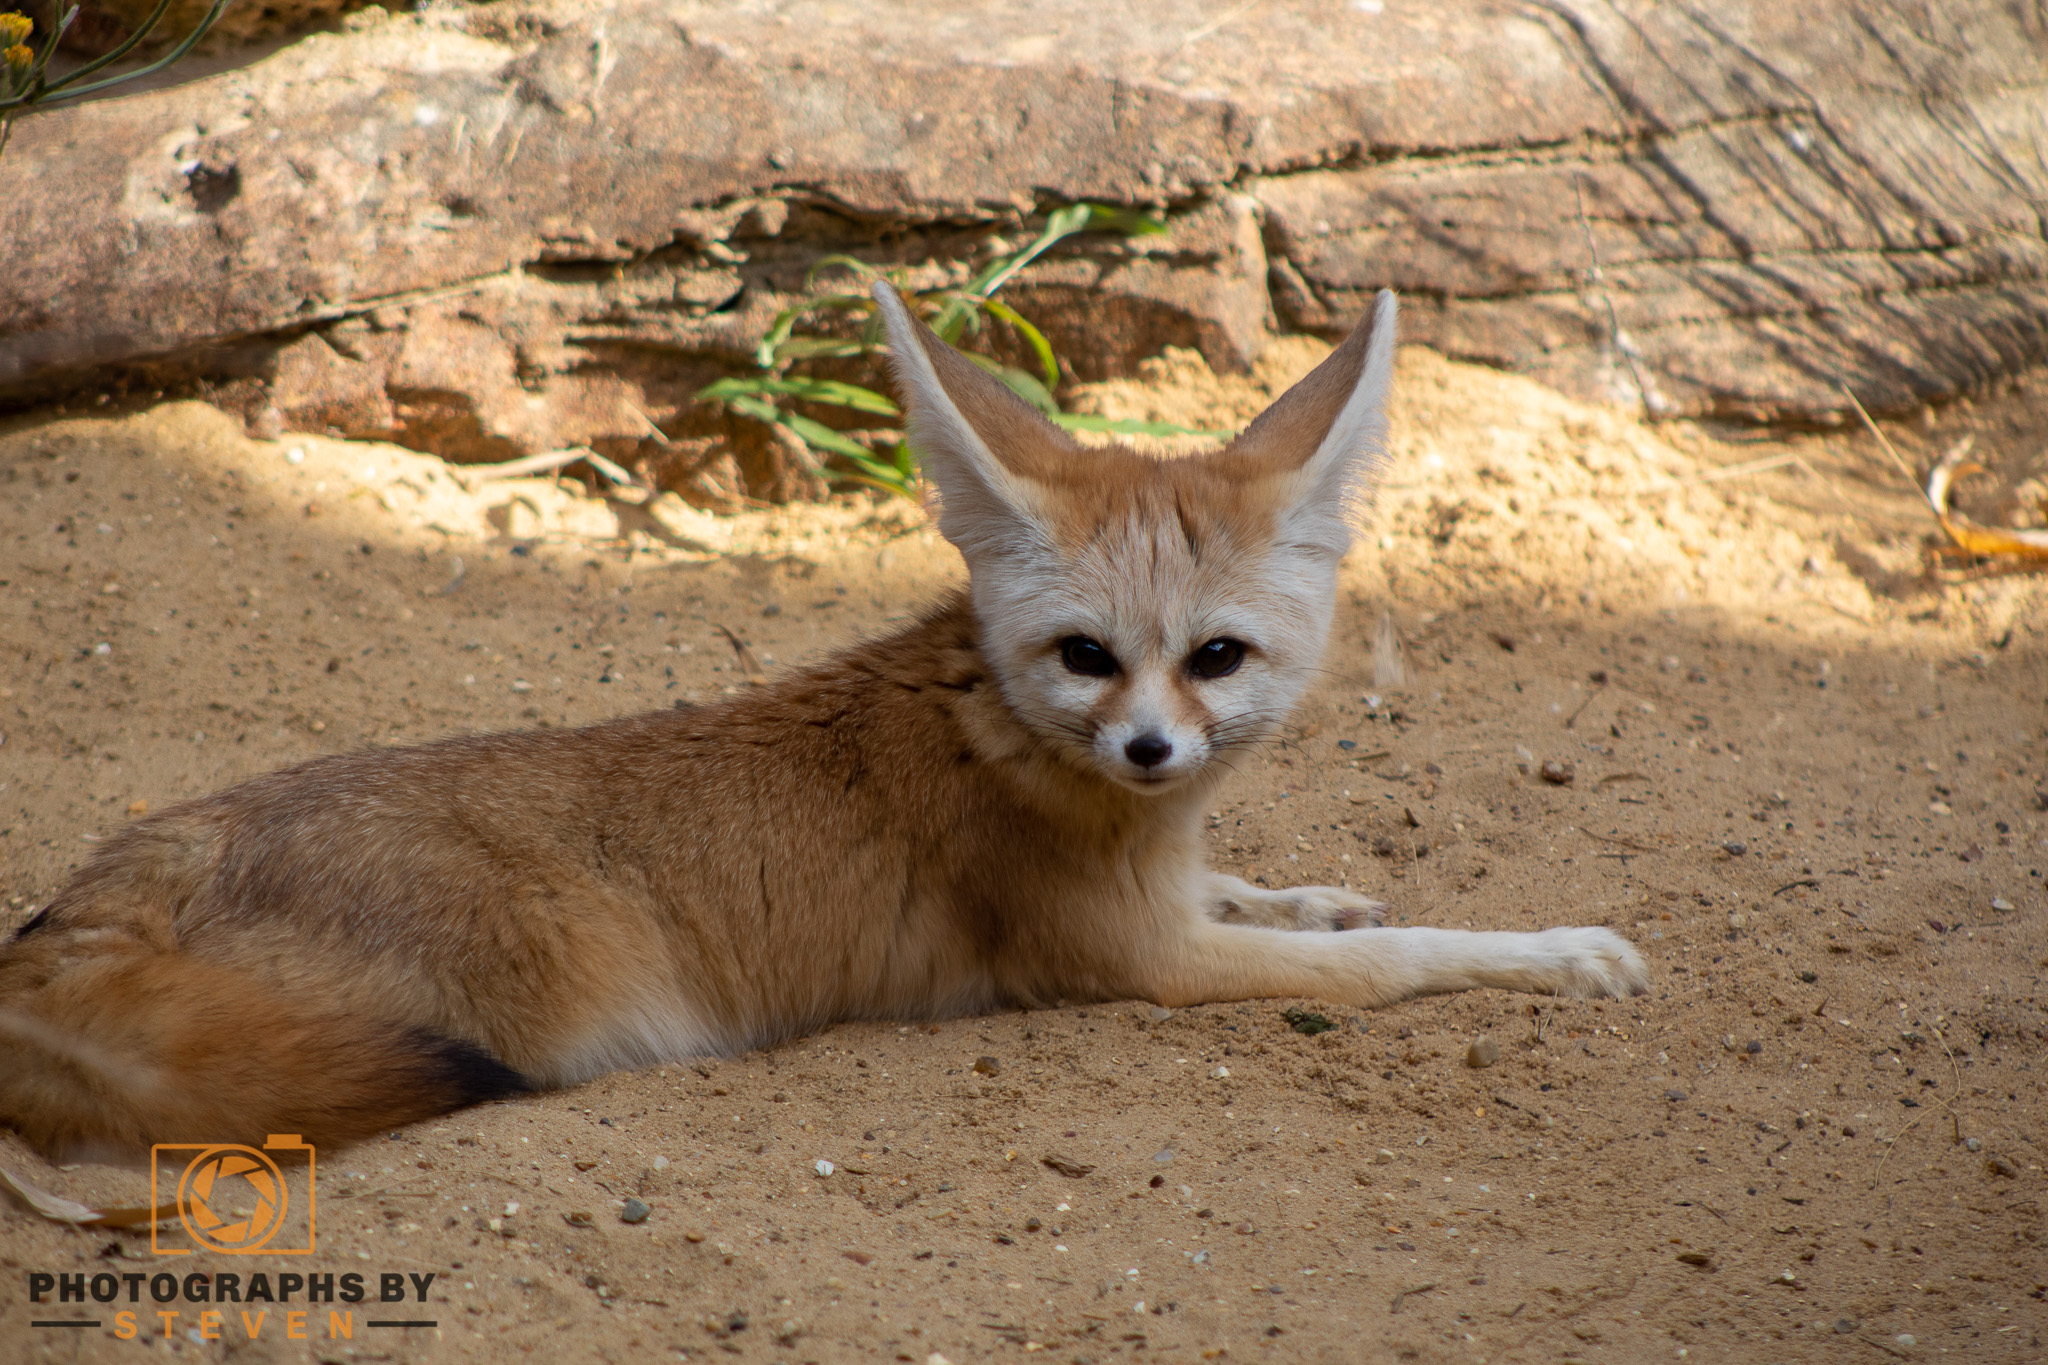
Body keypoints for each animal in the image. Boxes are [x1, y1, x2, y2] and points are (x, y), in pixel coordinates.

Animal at [0, 282, 1638, 1162]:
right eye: (1086, 658)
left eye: (1215, 659)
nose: (1148, 751)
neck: (1001, 725)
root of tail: (120, 874)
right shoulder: (1136, 958)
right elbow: (1402, 962)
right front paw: (1552, 952)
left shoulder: (1174, 885)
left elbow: (1289, 896)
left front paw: (1321, 886)